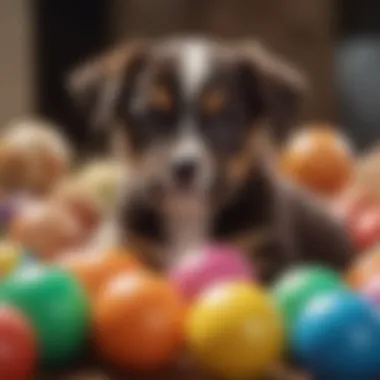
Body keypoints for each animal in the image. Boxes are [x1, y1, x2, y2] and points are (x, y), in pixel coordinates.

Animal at [67, 37, 354, 284]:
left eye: (223, 117)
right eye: (154, 114)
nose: (184, 169)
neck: (189, 216)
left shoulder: (264, 252)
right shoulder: (132, 245)